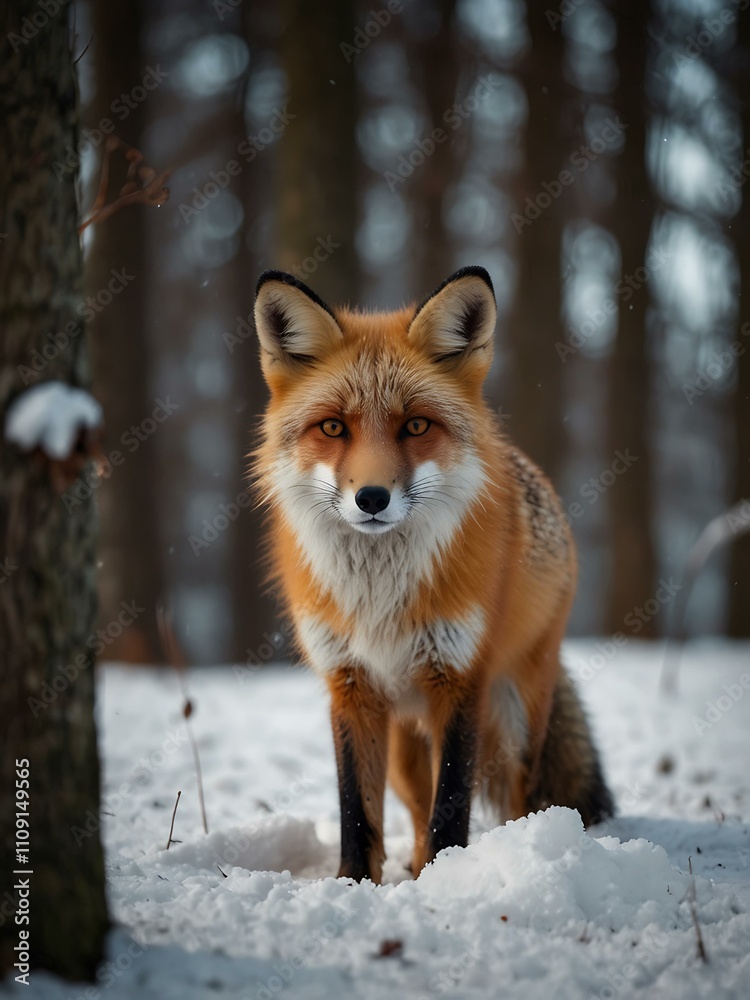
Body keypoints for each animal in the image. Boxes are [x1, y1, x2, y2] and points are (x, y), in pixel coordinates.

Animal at [252, 265, 614, 884]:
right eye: (333, 428)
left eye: (416, 425)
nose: (372, 498)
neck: (380, 600)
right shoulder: (350, 685)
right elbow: (357, 810)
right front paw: (354, 885)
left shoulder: (461, 679)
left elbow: (452, 805)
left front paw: (448, 879)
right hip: (404, 743)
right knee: (417, 807)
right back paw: (418, 866)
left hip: (515, 719)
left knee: (518, 800)